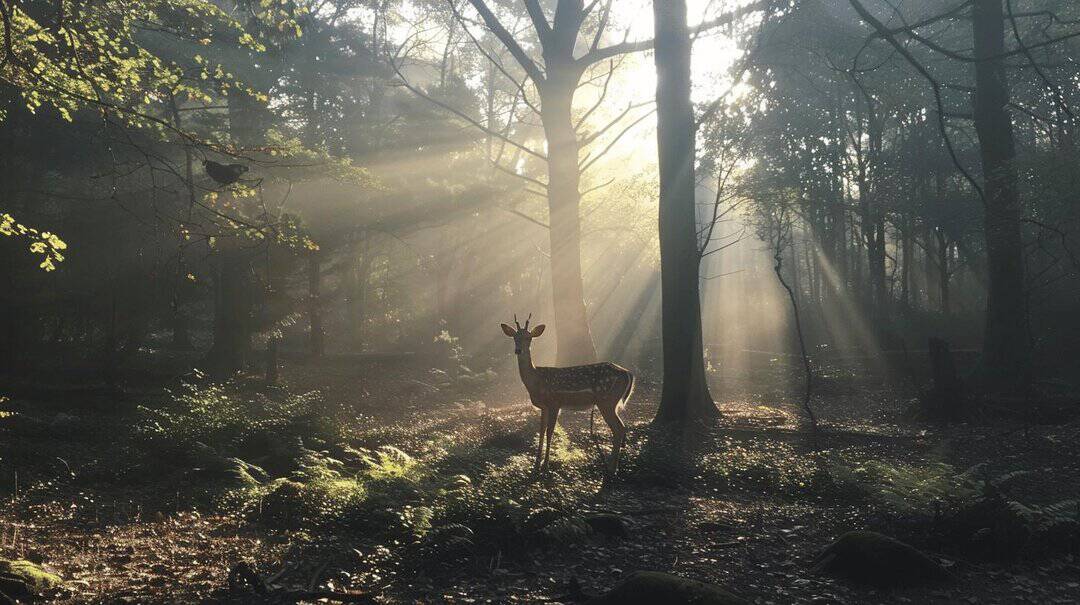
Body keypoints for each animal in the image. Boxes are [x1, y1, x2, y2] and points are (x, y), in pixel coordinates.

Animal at [500, 314, 634, 476]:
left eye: (528, 337)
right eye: (515, 337)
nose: (518, 350)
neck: (536, 382)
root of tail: (627, 373)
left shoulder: (555, 403)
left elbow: (550, 432)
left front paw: (545, 466)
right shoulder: (544, 407)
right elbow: (541, 431)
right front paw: (536, 465)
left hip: (607, 400)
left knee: (619, 428)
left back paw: (612, 468)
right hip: (610, 402)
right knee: (621, 427)